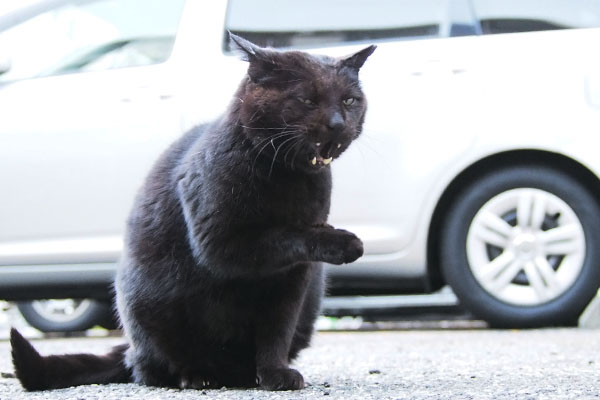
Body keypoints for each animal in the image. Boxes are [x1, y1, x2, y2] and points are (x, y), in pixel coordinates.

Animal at [10, 33, 376, 390]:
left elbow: (277, 331)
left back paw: (244, 376)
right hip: (146, 305)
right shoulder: (220, 243)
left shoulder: (294, 279)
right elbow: (286, 235)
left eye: (349, 101)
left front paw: (275, 374)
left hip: (311, 296)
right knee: (150, 368)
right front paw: (343, 242)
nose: (337, 123)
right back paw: (197, 376)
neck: (288, 178)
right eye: (307, 99)